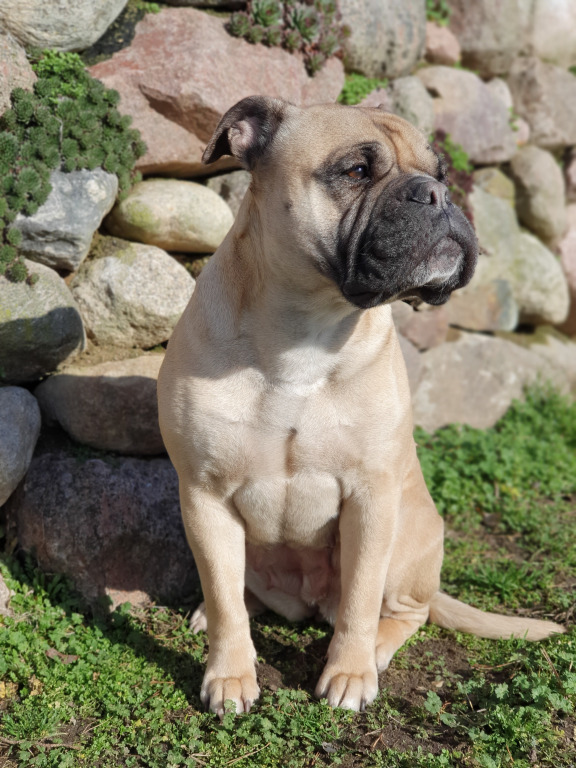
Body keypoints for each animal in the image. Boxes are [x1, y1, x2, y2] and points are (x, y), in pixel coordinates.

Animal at [157, 96, 565, 717]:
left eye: (442, 173)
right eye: (355, 171)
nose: (437, 194)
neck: (305, 330)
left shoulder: (371, 497)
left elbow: (359, 600)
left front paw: (348, 672)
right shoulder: (205, 496)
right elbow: (226, 599)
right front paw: (229, 673)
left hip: (408, 538)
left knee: (403, 612)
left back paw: (374, 649)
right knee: (238, 594)